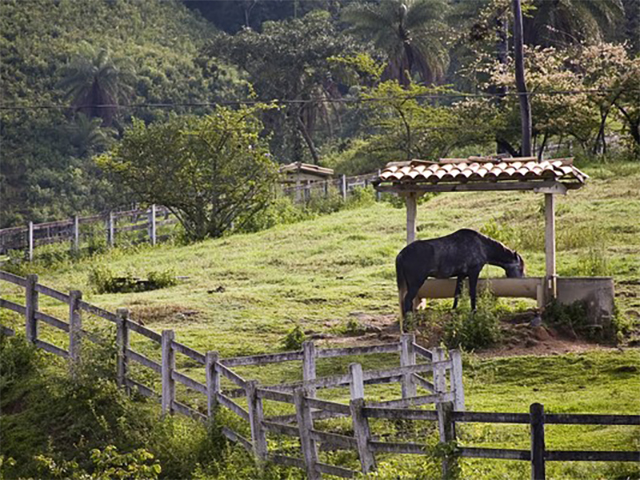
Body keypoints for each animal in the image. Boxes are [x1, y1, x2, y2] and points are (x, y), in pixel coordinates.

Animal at [396, 229, 524, 318]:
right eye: (521, 268)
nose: (522, 279)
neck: (482, 246)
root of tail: (401, 254)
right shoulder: (474, 272)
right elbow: (472, 293)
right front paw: (473, 311)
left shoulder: (461, 275)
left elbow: (457, 293)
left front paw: (453, 309)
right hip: (416, 283)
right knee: (407, 300)